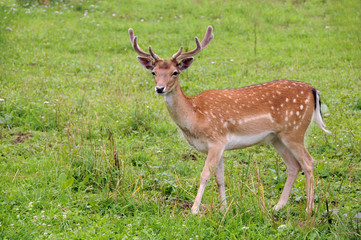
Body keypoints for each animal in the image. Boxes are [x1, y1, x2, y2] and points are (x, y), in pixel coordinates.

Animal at [127, 25, 330, 214]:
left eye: (175, 72)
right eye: (153, 72)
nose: (160, 88)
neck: (195, 116)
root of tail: (313, 91)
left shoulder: (216, 139)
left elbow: (204, 175)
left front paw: (194, 209)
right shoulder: (220, 145)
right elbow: (220, 178)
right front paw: (224, 209)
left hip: (295, 130)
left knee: (309, 162)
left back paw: (309, 209)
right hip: (276, 138)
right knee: (294, 166)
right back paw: (277, 206)